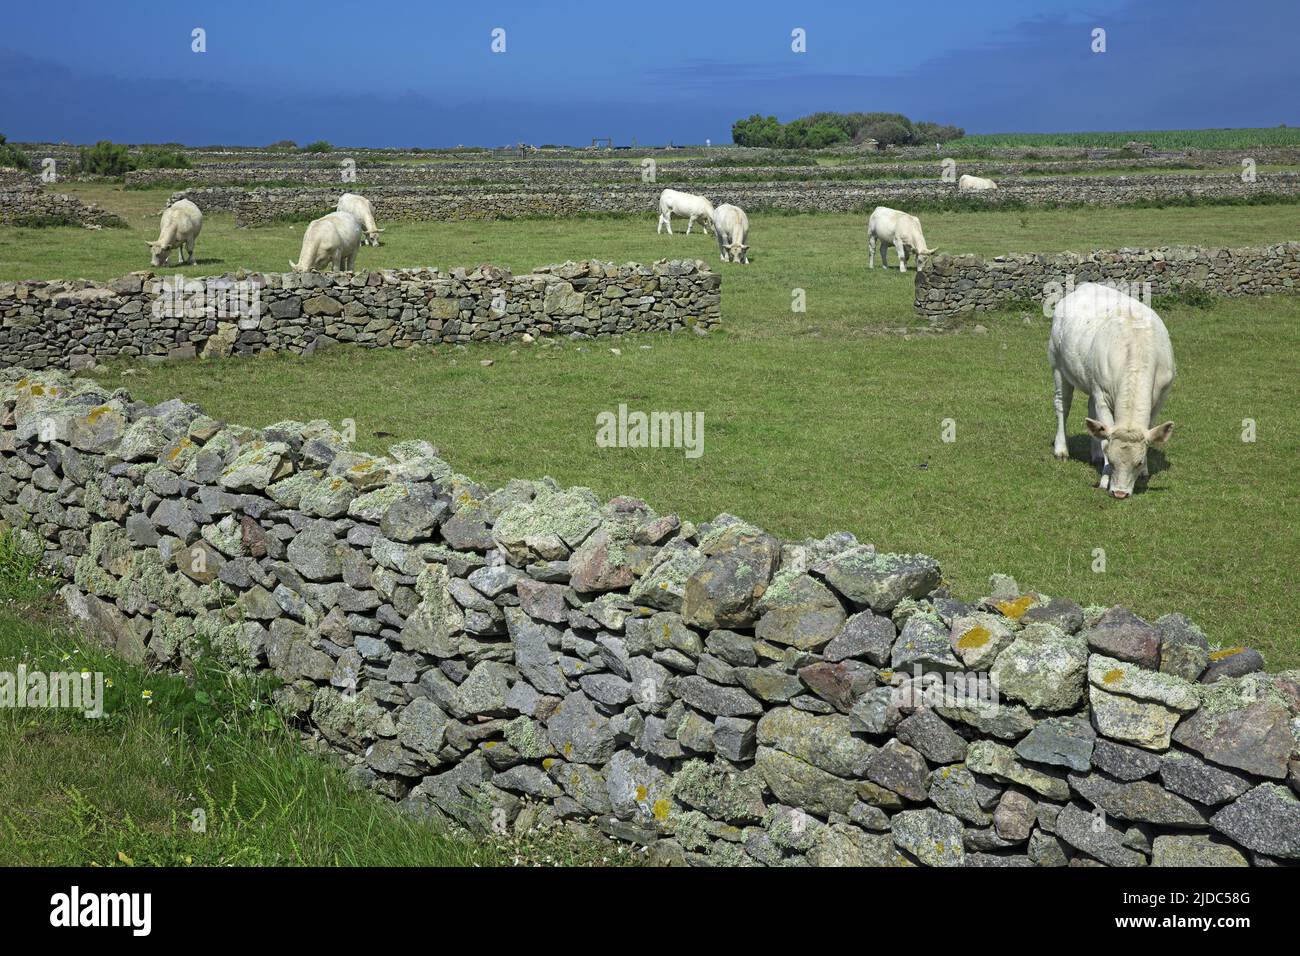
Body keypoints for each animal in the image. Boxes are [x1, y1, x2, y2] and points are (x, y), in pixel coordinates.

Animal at [1045, 282, 1180, 502]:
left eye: (1138, 462)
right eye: (1114, 460)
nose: (1120, 493)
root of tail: (1084, 286)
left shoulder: (1160, 397)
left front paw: (1144, 472)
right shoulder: (1102, 394)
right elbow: (1105, 434)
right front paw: (1105, 477)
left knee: (1091, 414)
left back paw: (1095, 455)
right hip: (1057, 363)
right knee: (1062, 405)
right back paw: (1062, 449)